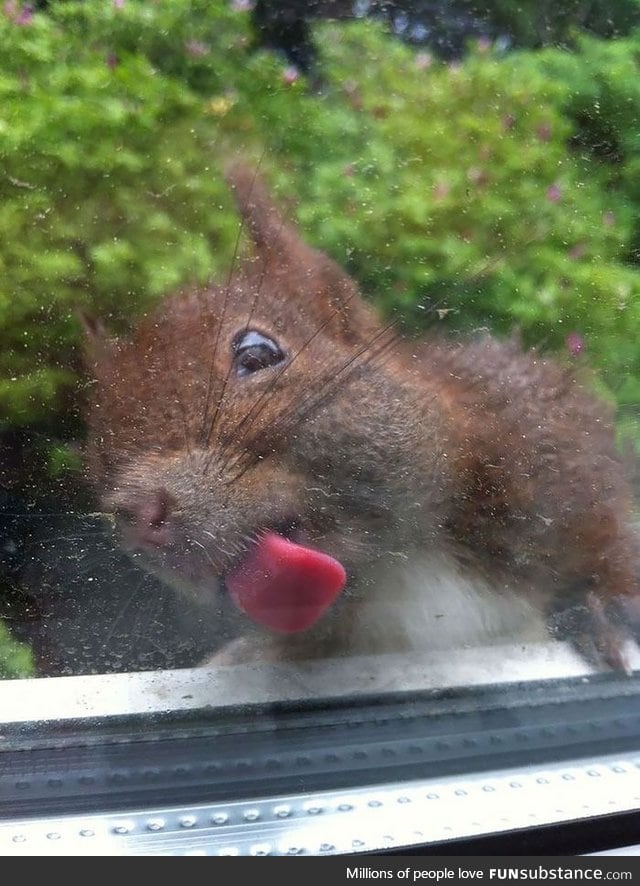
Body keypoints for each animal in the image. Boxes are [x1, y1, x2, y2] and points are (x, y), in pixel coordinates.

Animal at [81, 165, 640, 672]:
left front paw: (610, 607)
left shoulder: (548, 446)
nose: (137, 515)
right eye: (97, 464)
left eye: (257, 353)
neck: (399, 568)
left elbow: (610, 526)